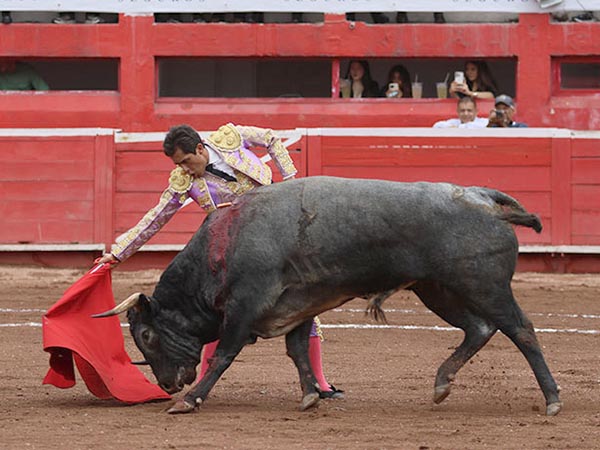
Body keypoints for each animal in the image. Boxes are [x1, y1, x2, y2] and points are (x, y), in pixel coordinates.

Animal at [95, 176, 564, 414]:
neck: (222, 248)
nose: (167, 384)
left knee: (520, 330)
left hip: (482, 285)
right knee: (479, 328)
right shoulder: (298, 302)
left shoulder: (245, 306)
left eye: (147, 336)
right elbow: (298, 349)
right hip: (438, 289)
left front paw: (190, 402)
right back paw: (441, 384)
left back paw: (553, 400)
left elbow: (225, 354)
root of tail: (485, 198)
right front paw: (308, 396)